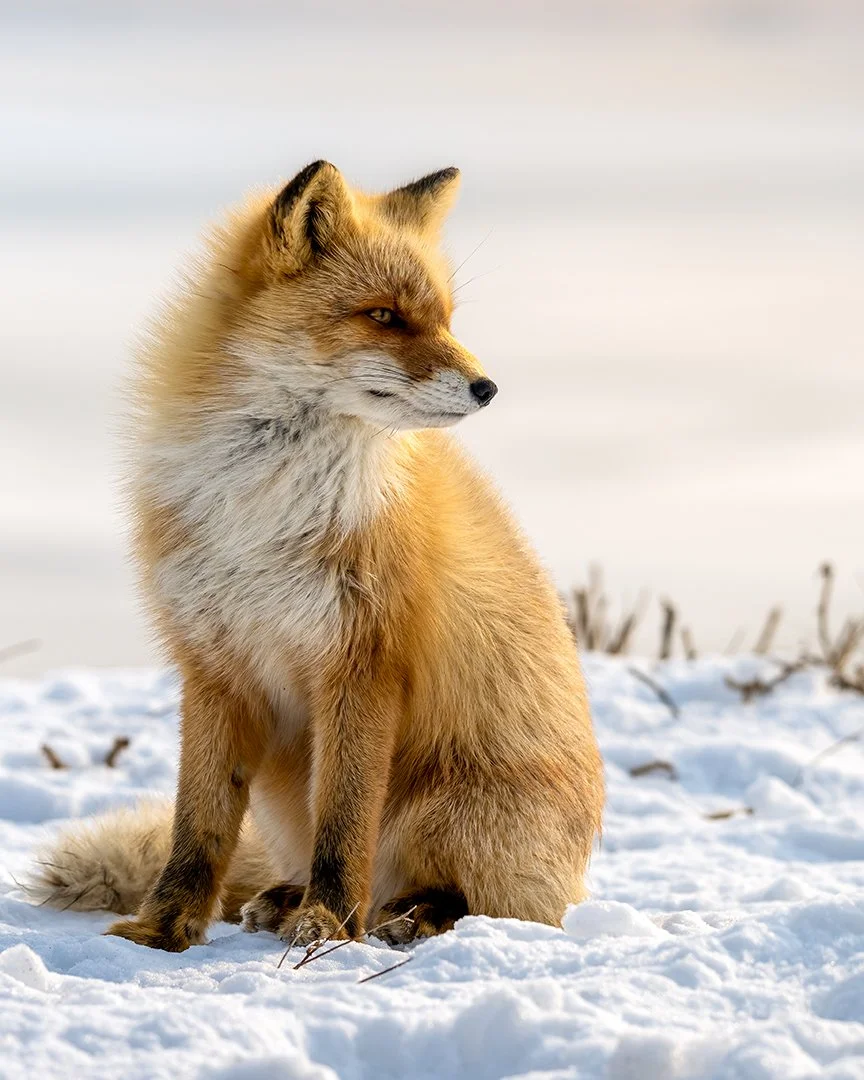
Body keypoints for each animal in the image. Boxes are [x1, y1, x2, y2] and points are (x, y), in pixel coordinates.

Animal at [27, 162, 604, 951]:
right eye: (385, 316)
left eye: (445, 318)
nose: (488, 387)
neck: (265, 509)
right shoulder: (213, 666)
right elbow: (197, 825)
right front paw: (164, 928)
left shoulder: (362, 661)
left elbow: (345, 818)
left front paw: (329, 926)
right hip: (281, 795)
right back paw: (285, 898)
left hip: (449, 813)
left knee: (490, 903)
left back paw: (408, 914)